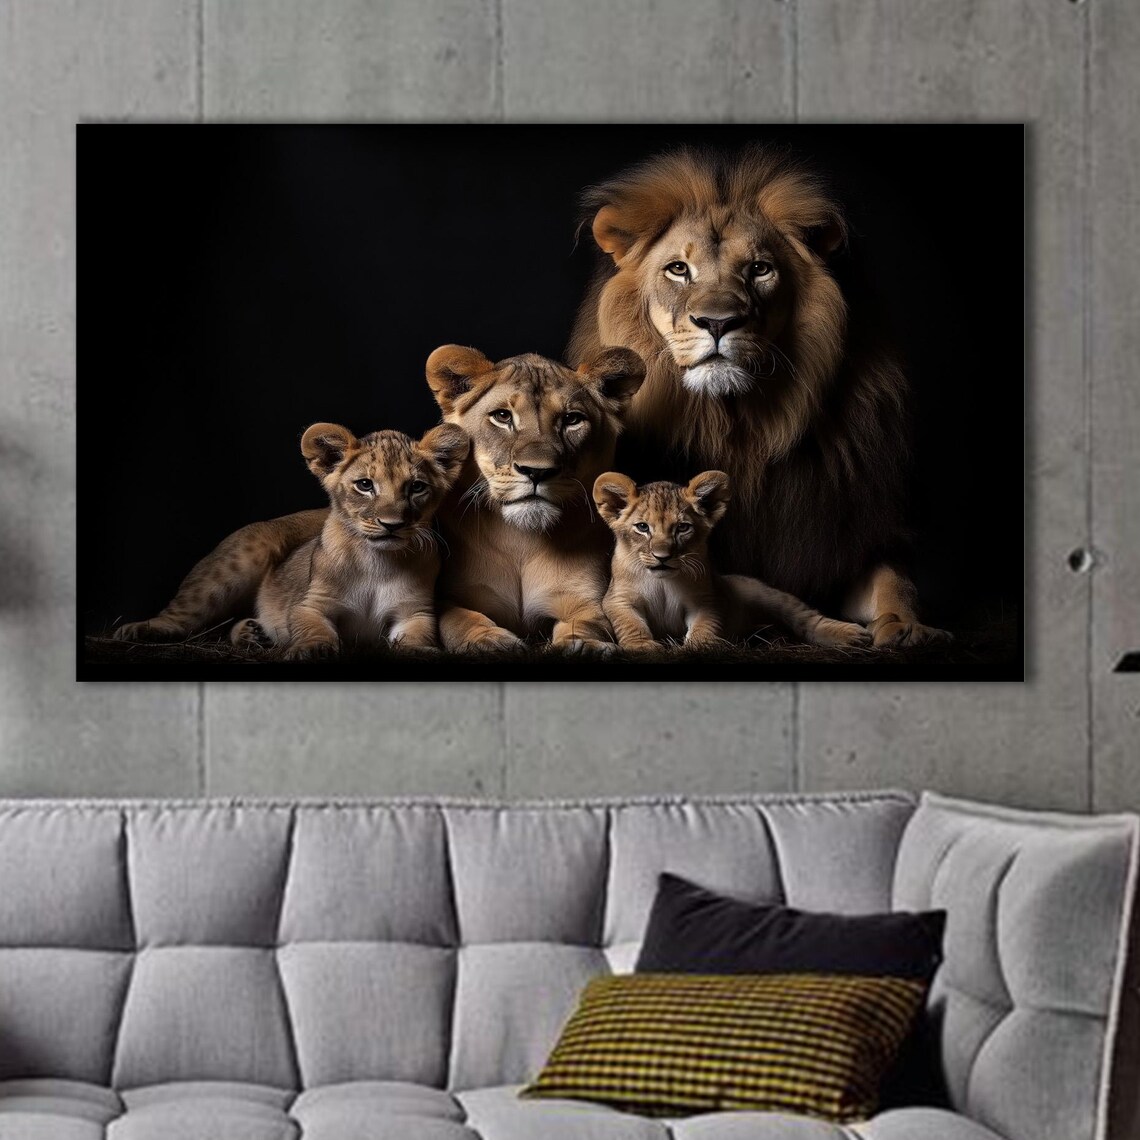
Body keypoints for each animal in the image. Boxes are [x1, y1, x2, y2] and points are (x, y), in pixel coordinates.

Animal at [228, 422, 468, 659]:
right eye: (365, 485)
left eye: (417, 487)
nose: (392, 524)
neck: (377, 562)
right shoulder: (311, 604)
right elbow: (313, 628)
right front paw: (313, 649)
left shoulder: (414, 612)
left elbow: (416, 635)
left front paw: (419, 651)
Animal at [425, 344, 645, 654]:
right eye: (502, 416)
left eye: (571, 419)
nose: (537, 471)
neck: (522, 542)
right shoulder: (449, 597)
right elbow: (458, 620)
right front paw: (488, 641)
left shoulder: (586, 601)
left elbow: (588, 624)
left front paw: (582, 645)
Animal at [594, 470, 872, 653]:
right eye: (642, 527)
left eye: (682, 528)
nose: (663, 557)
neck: (663, 581)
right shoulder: (618, 599)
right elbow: (630, 623)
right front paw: (642, 646)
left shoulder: (707, 598)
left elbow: (706, 622)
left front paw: (701, 645)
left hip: (767, 594)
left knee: (806, 617)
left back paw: (851, 635)